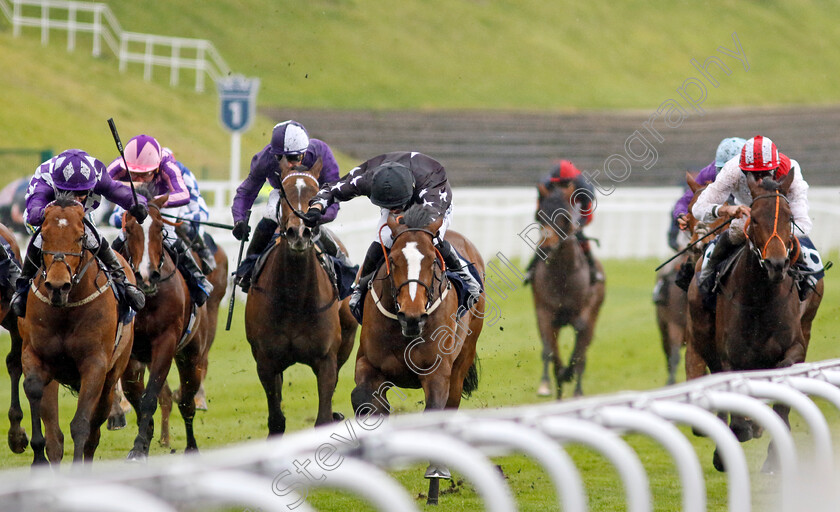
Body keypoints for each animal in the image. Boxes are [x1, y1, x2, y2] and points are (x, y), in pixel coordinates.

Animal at [18, 195, 134, 464]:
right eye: (44, 236)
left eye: (81, 236)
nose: (57, 286)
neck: (66, 310)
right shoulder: (34, 355)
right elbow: (33, 388)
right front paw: (37, 454)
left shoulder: (95, 365)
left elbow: (81, 425)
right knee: (55, 437)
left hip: (112, 374)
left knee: (95, 428)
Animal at [117, 192, 210, 460]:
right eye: (128, 228)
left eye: (159, 227)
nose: (146, 276)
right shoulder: (130, 355)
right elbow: (137, 398)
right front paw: (141, 444)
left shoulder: (166, 343)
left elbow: (150, 398)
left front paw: (140, 445)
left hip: (191, 355)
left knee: (187, 401)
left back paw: (191, 446)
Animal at [350, 207, 482, 416]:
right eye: (392, 260)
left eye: (433, 259)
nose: (412, 317)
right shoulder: (368, 363)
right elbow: (362, 398)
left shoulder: (438, 373)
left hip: (463, 359)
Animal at [532, 182, 604, 398]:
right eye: (539, 214)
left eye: (563, 216)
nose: (547, 246)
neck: (562, 275)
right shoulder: (544, 312)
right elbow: (549, 350)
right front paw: (548, 382)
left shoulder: (583, 313)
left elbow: (579, 346)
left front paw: (569, 373)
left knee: (583, 351)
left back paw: (577, 389)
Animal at [684, 171, 816, 472]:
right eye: (753, 218)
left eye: (789, 217)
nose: (776, 263)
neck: (760, 299)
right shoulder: (728, 356)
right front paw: (742, 431)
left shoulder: (796, 347)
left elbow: (784, 382)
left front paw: (774, 453)